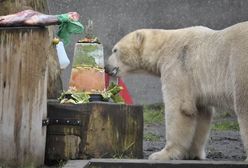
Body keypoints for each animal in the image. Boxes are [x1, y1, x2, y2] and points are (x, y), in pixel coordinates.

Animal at [105, 21, 248, 161]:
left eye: (115, 50)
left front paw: (162, 154)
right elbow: (201, 113)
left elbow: (178, 108)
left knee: (243, 107)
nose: (106, 67)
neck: (164, 46)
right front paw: (193, 154)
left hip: (240, 67)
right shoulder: (195, 83)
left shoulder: (178, 66)